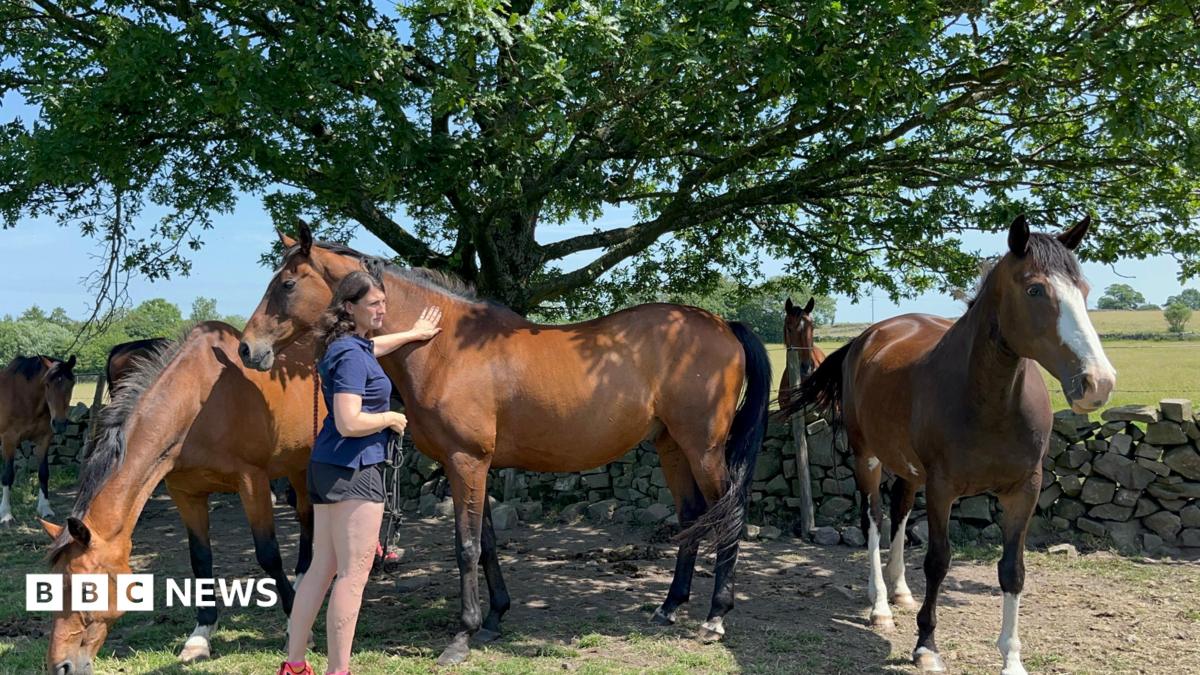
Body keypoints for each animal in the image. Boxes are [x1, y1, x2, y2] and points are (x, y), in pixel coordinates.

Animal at [0, 354, 77, 525]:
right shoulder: (9, 440)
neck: (25, 398)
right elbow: (8, 475)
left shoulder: (44, 439)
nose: (60, 423)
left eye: (72, 383)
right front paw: (6, 514)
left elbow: (43, 473)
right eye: (47, 384)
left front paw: (45, 509)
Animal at [42, 322, 322, 675]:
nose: (61, 666)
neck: (199, 404)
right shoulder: (186, 493)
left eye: (83, 588)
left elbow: (268, 555)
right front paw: (199, 638)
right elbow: (200, 560)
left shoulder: (253, 481)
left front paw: (296, 628)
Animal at [238, 224, 771, 665]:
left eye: (287, 284)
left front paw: (463, 636)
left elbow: (466, 545)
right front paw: (495, 618)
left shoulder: (465, 461)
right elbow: (489, 542)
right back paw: (669, 606)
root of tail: (721, 324)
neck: (444, 347)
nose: (248, 349)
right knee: (691, 518)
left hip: (703, 448)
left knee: (728, 516)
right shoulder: (478, 465)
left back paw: (714, 616)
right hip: (671, 446)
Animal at [782, 215, 1115, 675]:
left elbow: (1012, 570)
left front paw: (1012, 658)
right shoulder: (942, 488)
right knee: (874, 519)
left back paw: (900, 590)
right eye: (1035, 289)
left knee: (900, 513)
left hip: (907, 469)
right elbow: (938, 561)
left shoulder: (1024, 490)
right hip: (869, 458)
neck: (988, 402)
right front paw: (926, 645)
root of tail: (868, 337)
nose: (1097, 383)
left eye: (1083, 290)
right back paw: (880, 604)